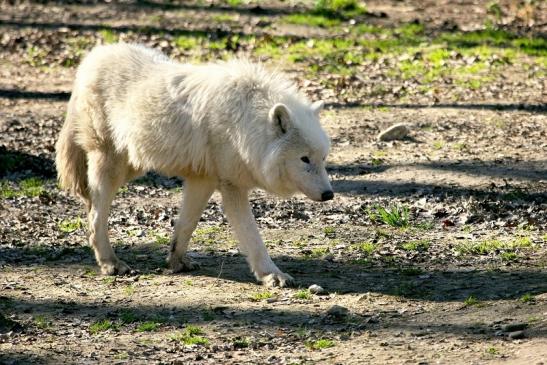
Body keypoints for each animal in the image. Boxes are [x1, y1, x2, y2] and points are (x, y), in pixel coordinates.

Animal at [55, 42, 332, 286]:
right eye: (304, 159)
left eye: (322, 158)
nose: (329, 194)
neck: (245, 124)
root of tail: (92, 57)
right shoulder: (232, 186)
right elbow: (252, 236)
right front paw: (271, 275)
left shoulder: (203, 179)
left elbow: (186, 225)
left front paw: (177, 262)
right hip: (112, 166)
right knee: (96, 217)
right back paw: (110, 263)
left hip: (132, 166)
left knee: (90, 204)